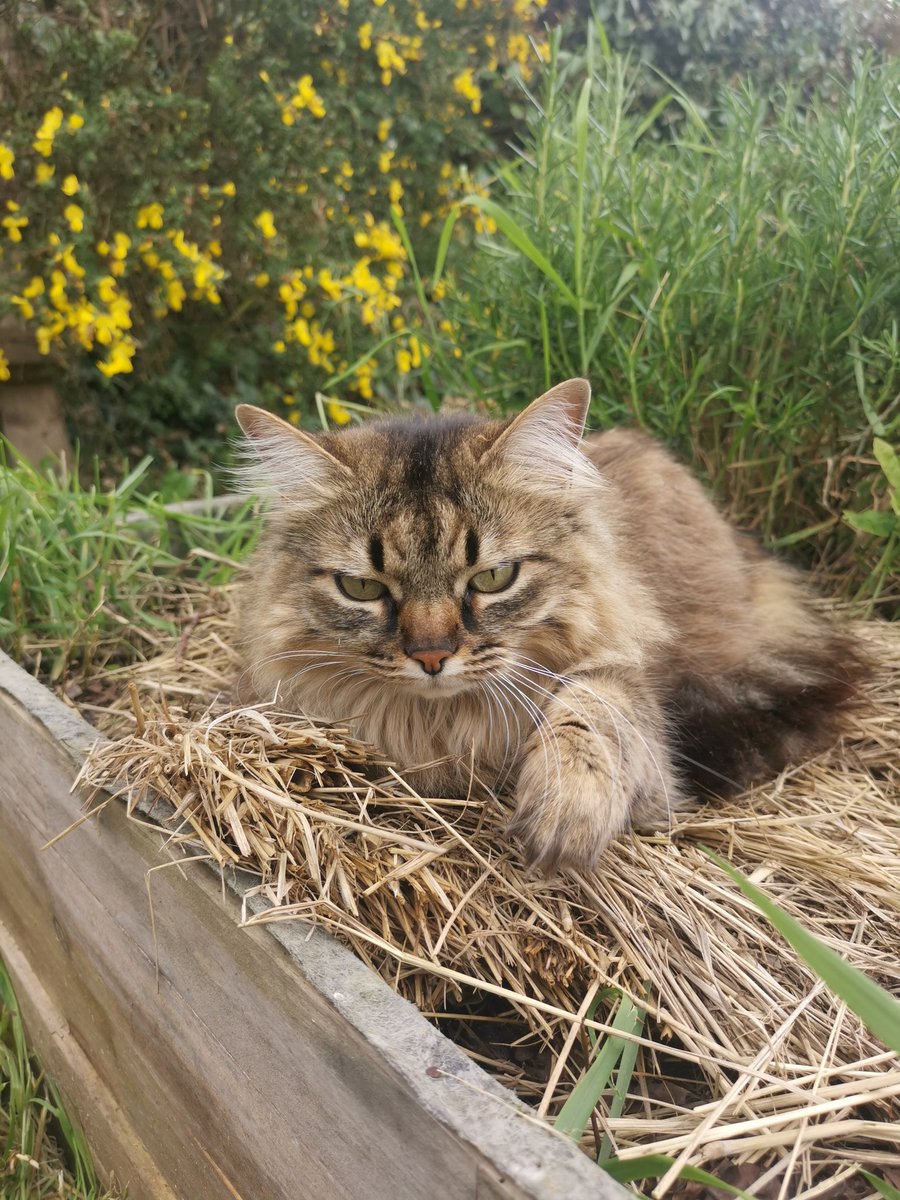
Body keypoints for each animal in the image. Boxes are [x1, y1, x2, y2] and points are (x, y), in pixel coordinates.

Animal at [230, 381, 859, 873]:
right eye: (362, 588)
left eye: (494, 577)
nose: (431, 656)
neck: (443, 726)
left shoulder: (639, 723)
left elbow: (593, 708)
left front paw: (565, 809)